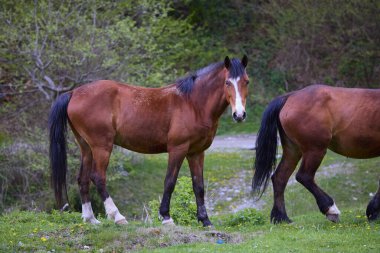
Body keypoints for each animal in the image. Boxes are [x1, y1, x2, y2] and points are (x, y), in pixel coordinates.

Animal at [48, 55, 249, 225]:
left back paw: (91, 219)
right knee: (98, 177)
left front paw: (205, 220)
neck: (193, 104)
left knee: (82, 179)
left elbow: (198, 186)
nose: (239, 115)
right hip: (101, 146)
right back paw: (117, 217)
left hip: (86, 147)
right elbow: (170, 181)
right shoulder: (178, 149)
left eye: (246, 81)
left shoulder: (196, 152)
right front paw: (166, 217)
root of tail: (74, 93)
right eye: (227, 82)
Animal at [252, 84, 380, 223]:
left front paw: (373, 212)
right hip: (315, 150)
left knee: (280, 177)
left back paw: (281, 217)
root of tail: (290, 96)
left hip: (293, 150)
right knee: (304, 176)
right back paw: (331, 209)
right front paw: (373, 211)